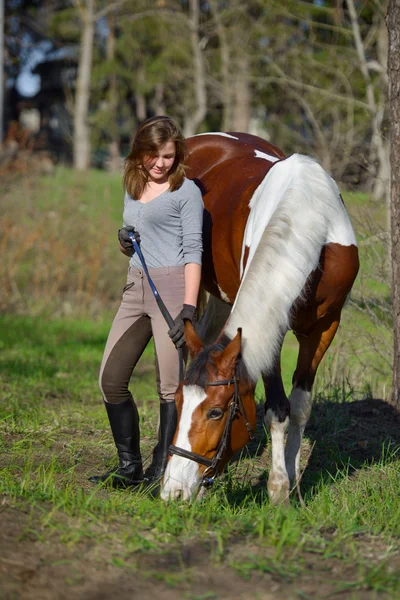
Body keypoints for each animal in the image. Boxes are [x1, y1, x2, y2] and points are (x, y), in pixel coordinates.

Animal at [159, 134, 360, 504]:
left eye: (216, 412)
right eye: (179, 403)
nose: (174, 491)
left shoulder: (324, 327)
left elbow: (298, 407)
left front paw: (292, 484)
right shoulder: (271, 330)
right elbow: (277, 409)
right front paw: (278, 488)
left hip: (223, 299)